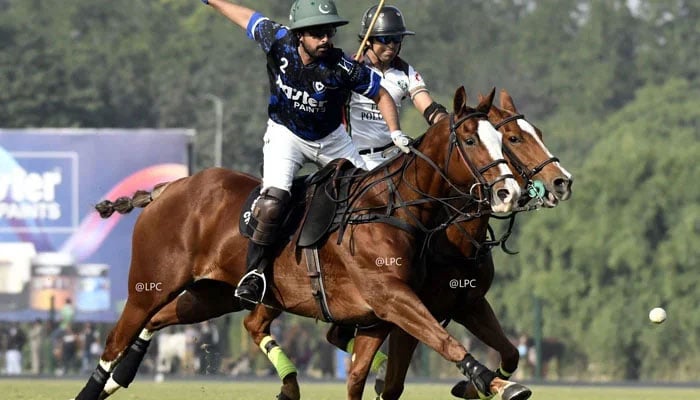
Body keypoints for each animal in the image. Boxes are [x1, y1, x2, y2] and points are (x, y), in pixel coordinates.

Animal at [72, 88, 532, 400]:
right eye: (471, 141)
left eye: (503, 140)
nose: (510, 192)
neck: (395, 209)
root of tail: (167, 188)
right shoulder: (392, 298)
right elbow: (443, 342)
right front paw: (492, 382)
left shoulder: (382, 316)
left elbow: (363, 378)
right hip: (148, 284)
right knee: (116, 338)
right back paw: (96, 386)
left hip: (212, 295)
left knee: (164, 320)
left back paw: (120, 378)